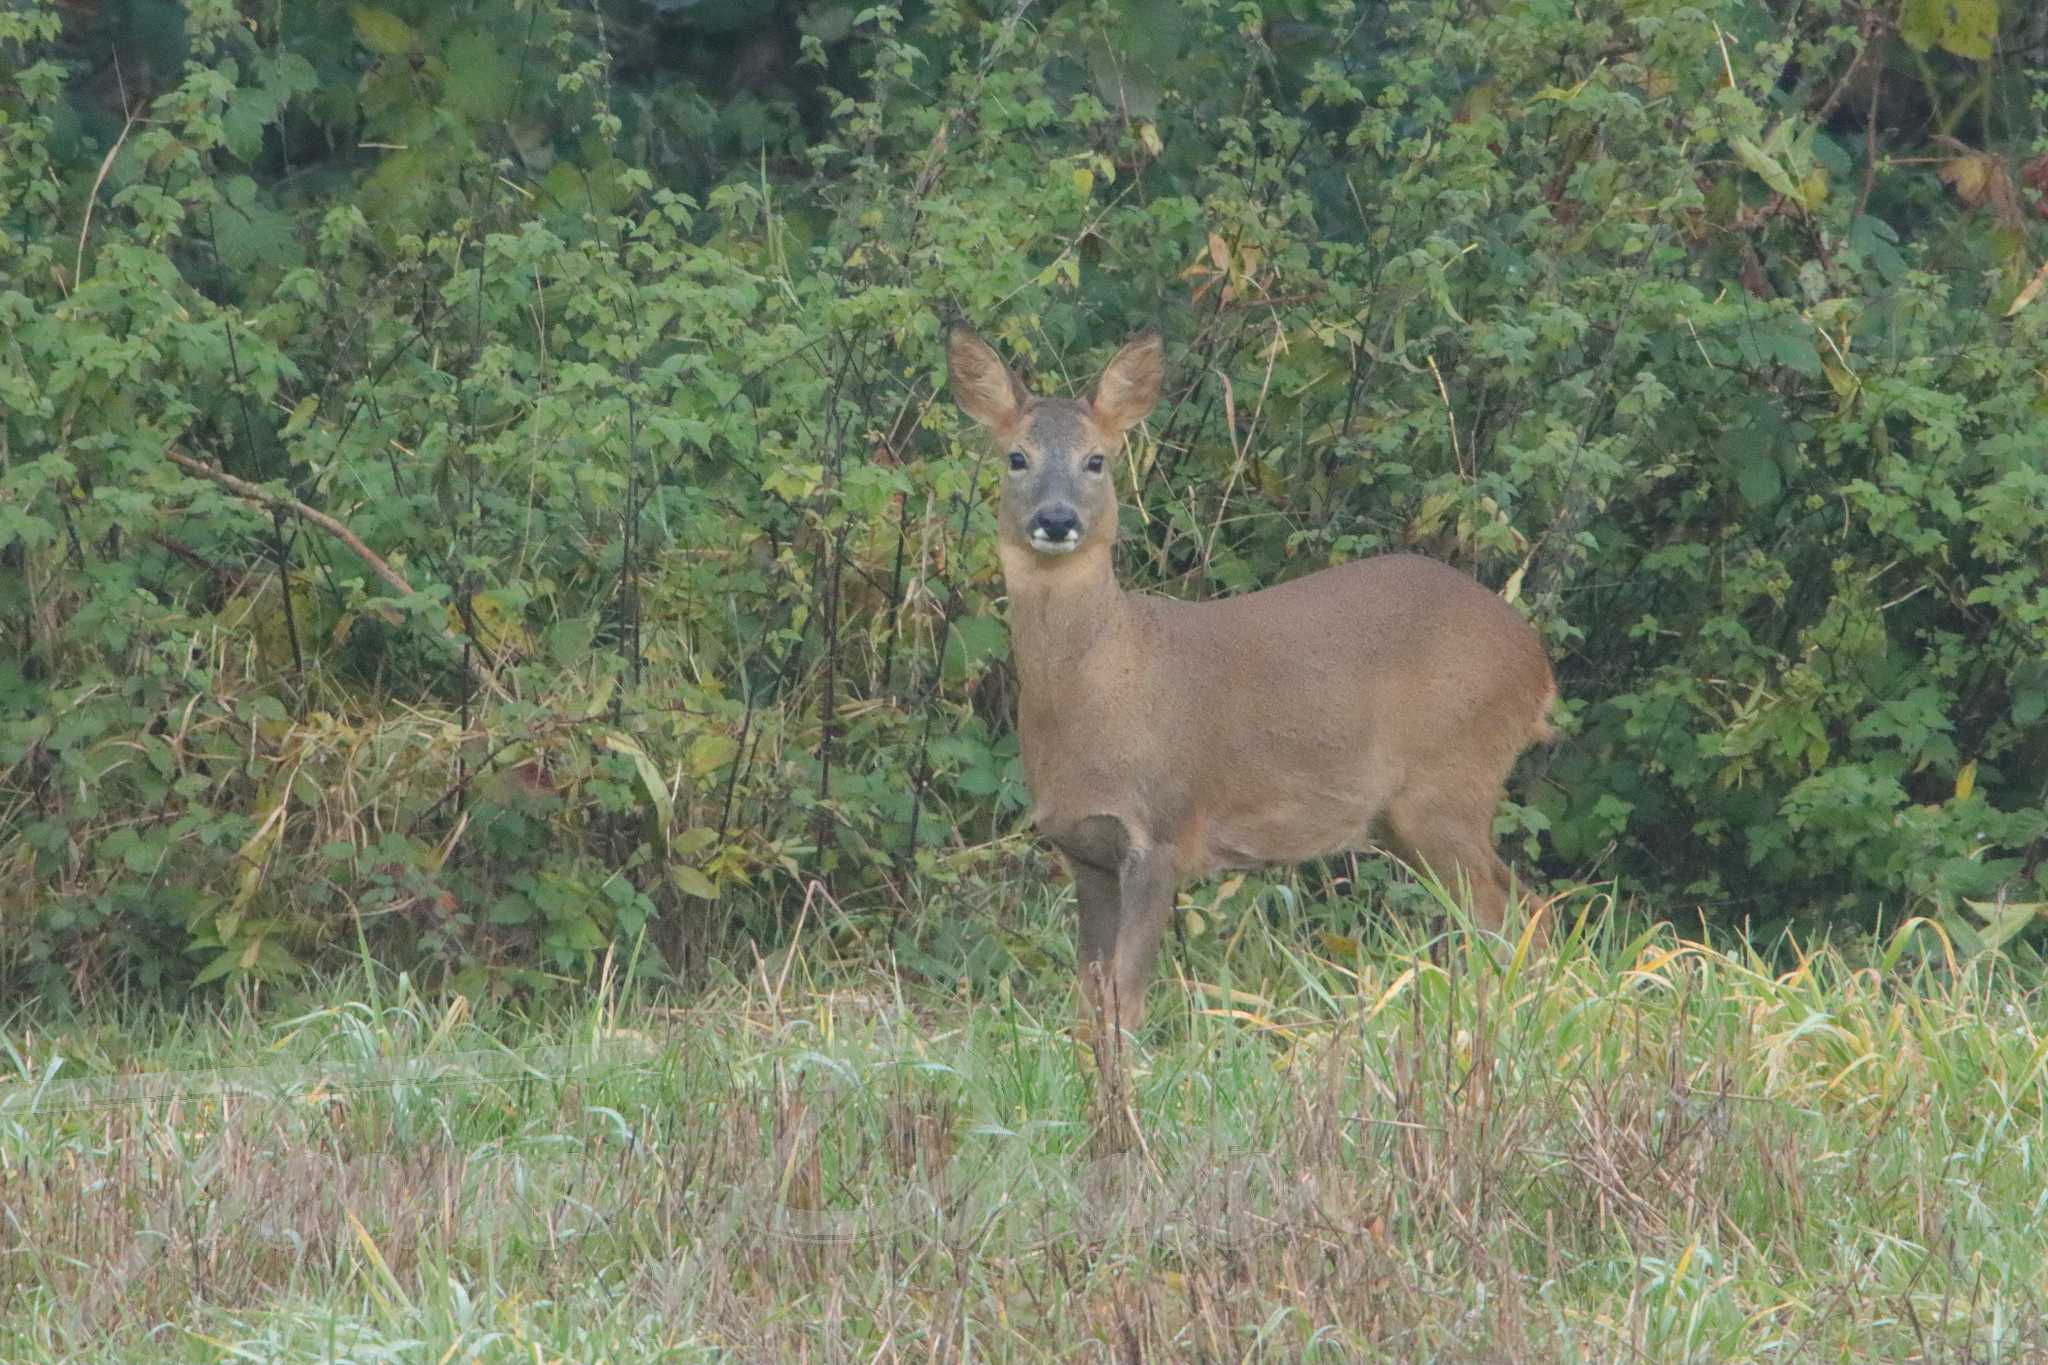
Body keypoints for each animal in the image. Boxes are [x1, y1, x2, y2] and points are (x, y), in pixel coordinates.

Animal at [950, 327, 1556, 1035]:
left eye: (1096, 460)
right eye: (1016, 457)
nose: (1054, 518)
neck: (1103, 691)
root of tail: (1537, 663)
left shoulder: (1164, 828)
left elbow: (1127, 1000)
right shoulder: (1084, 849)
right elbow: (1091, 1001)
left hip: (1451, 780)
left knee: (1502, 916)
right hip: (1407, 816)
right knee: (1527, 909)